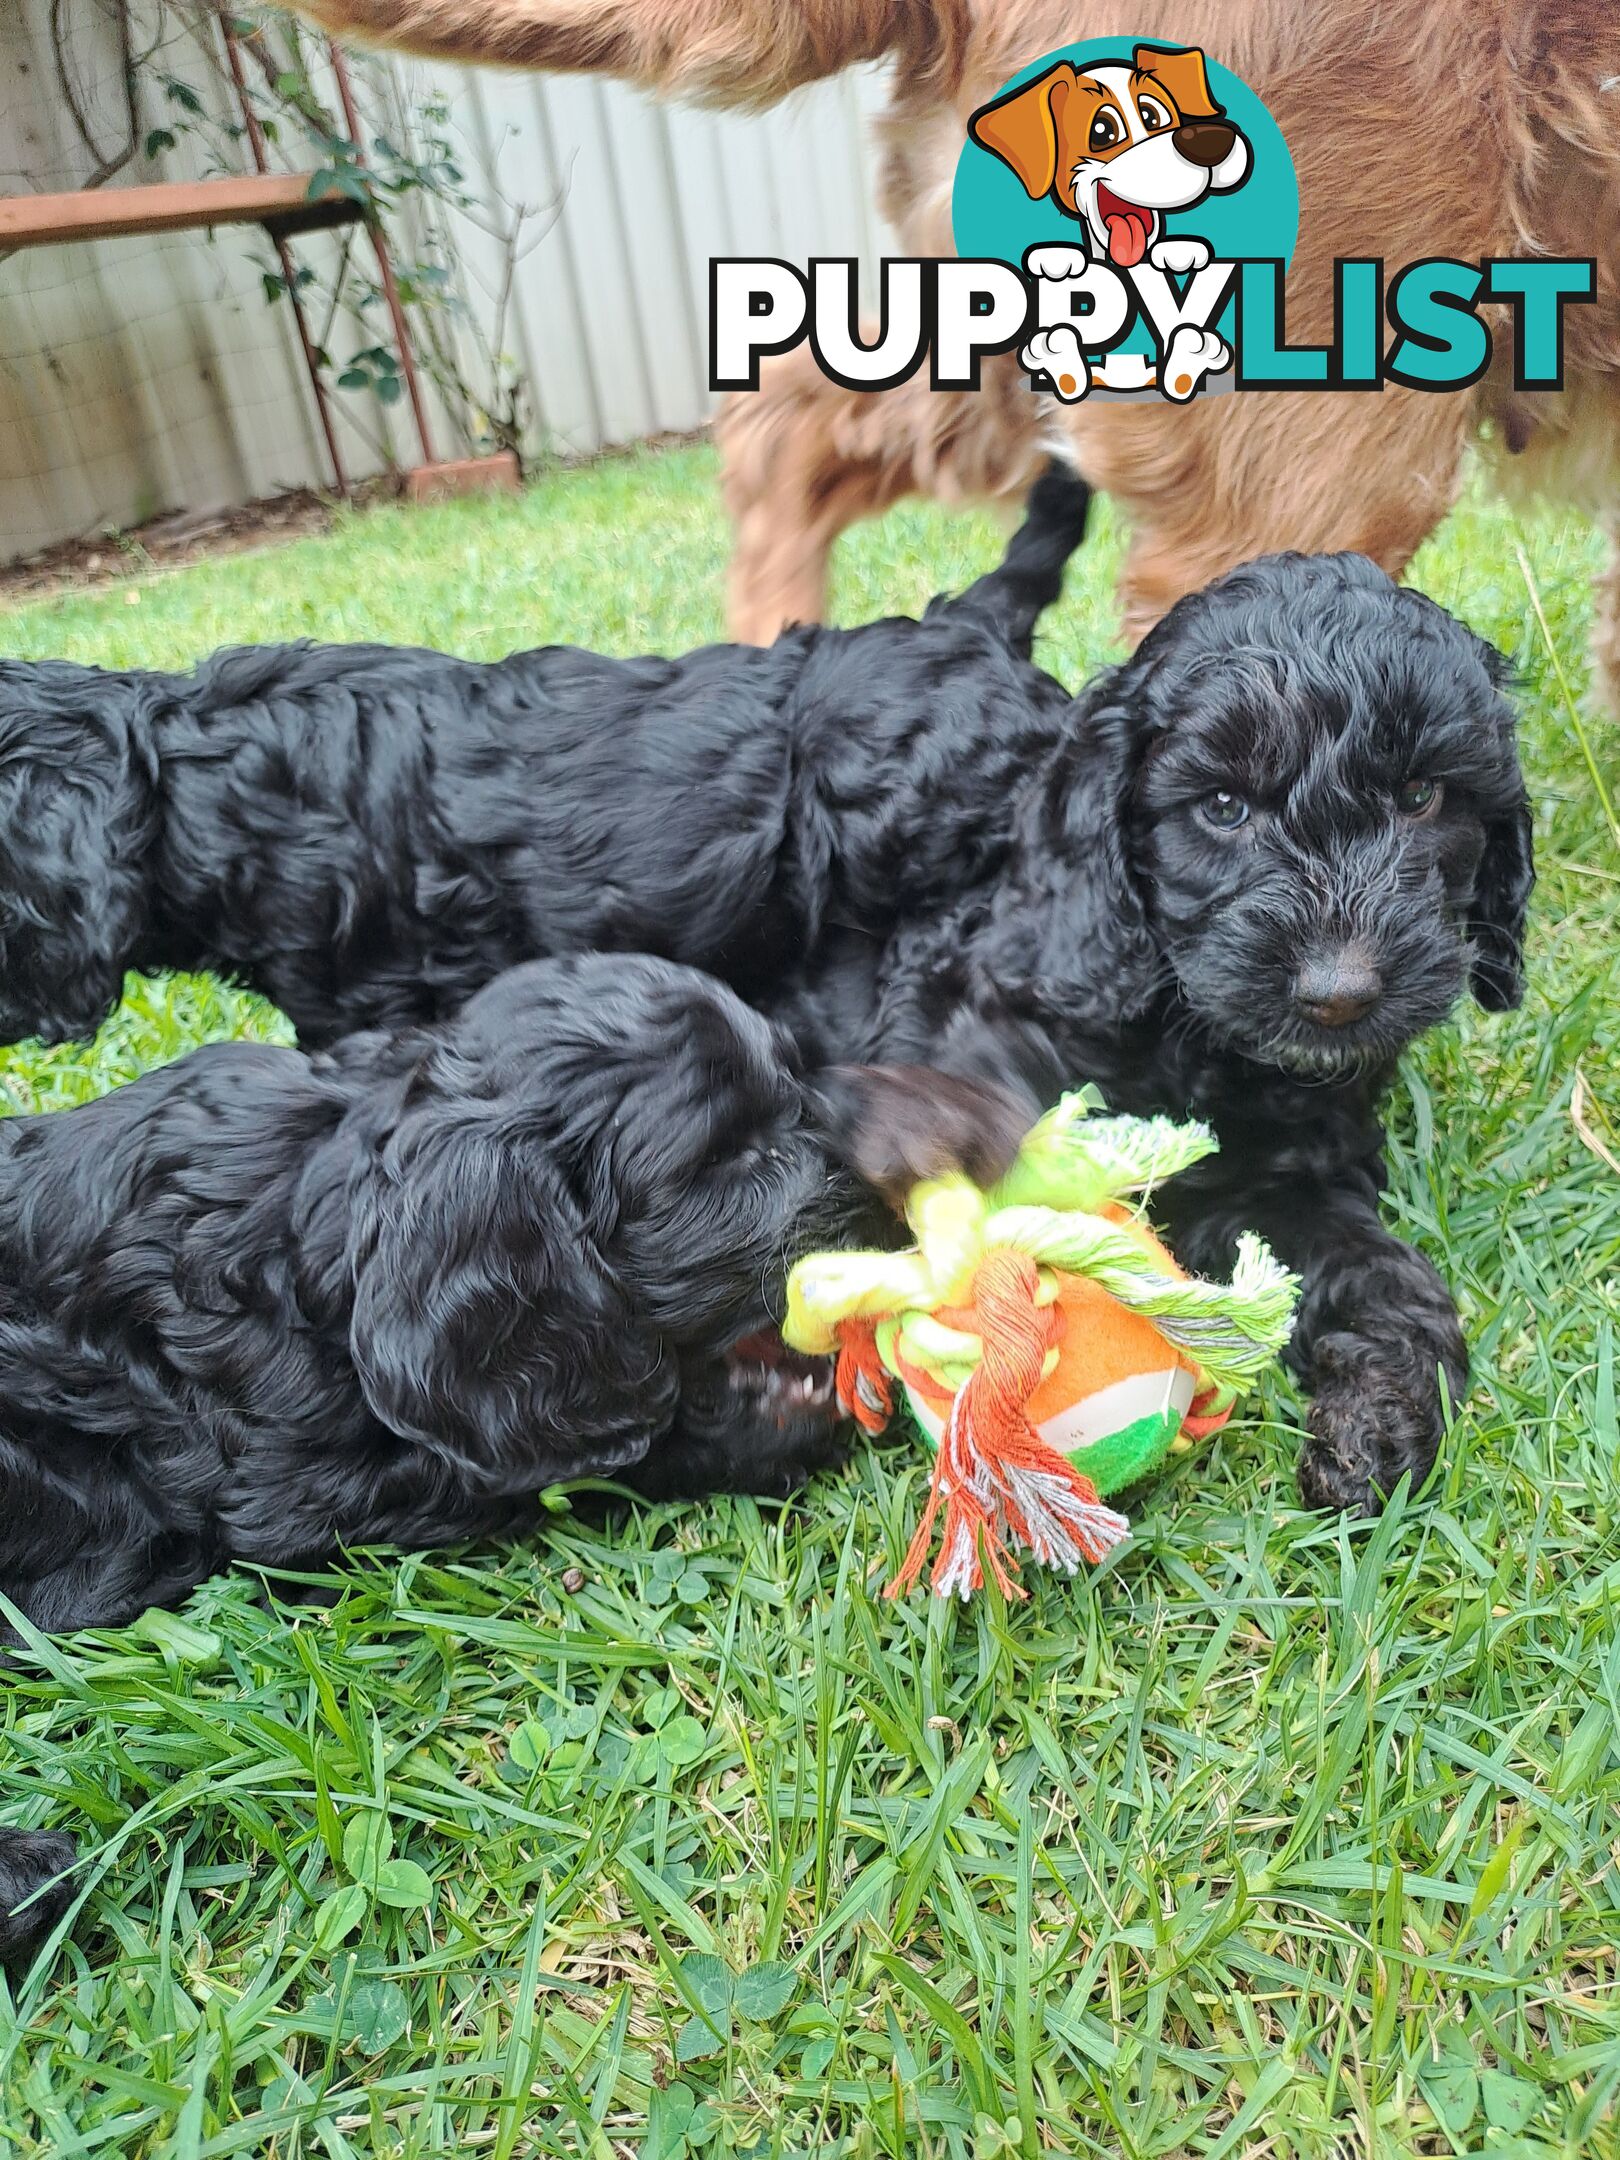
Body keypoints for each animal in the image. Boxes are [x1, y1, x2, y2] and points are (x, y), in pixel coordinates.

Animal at [0, 470, 1537, 1520]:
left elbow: (1374, 1267)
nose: (1342, 994)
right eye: (1220, 808)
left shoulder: (1291, 1152)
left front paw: (1382, 1414)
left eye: (1426, 799)